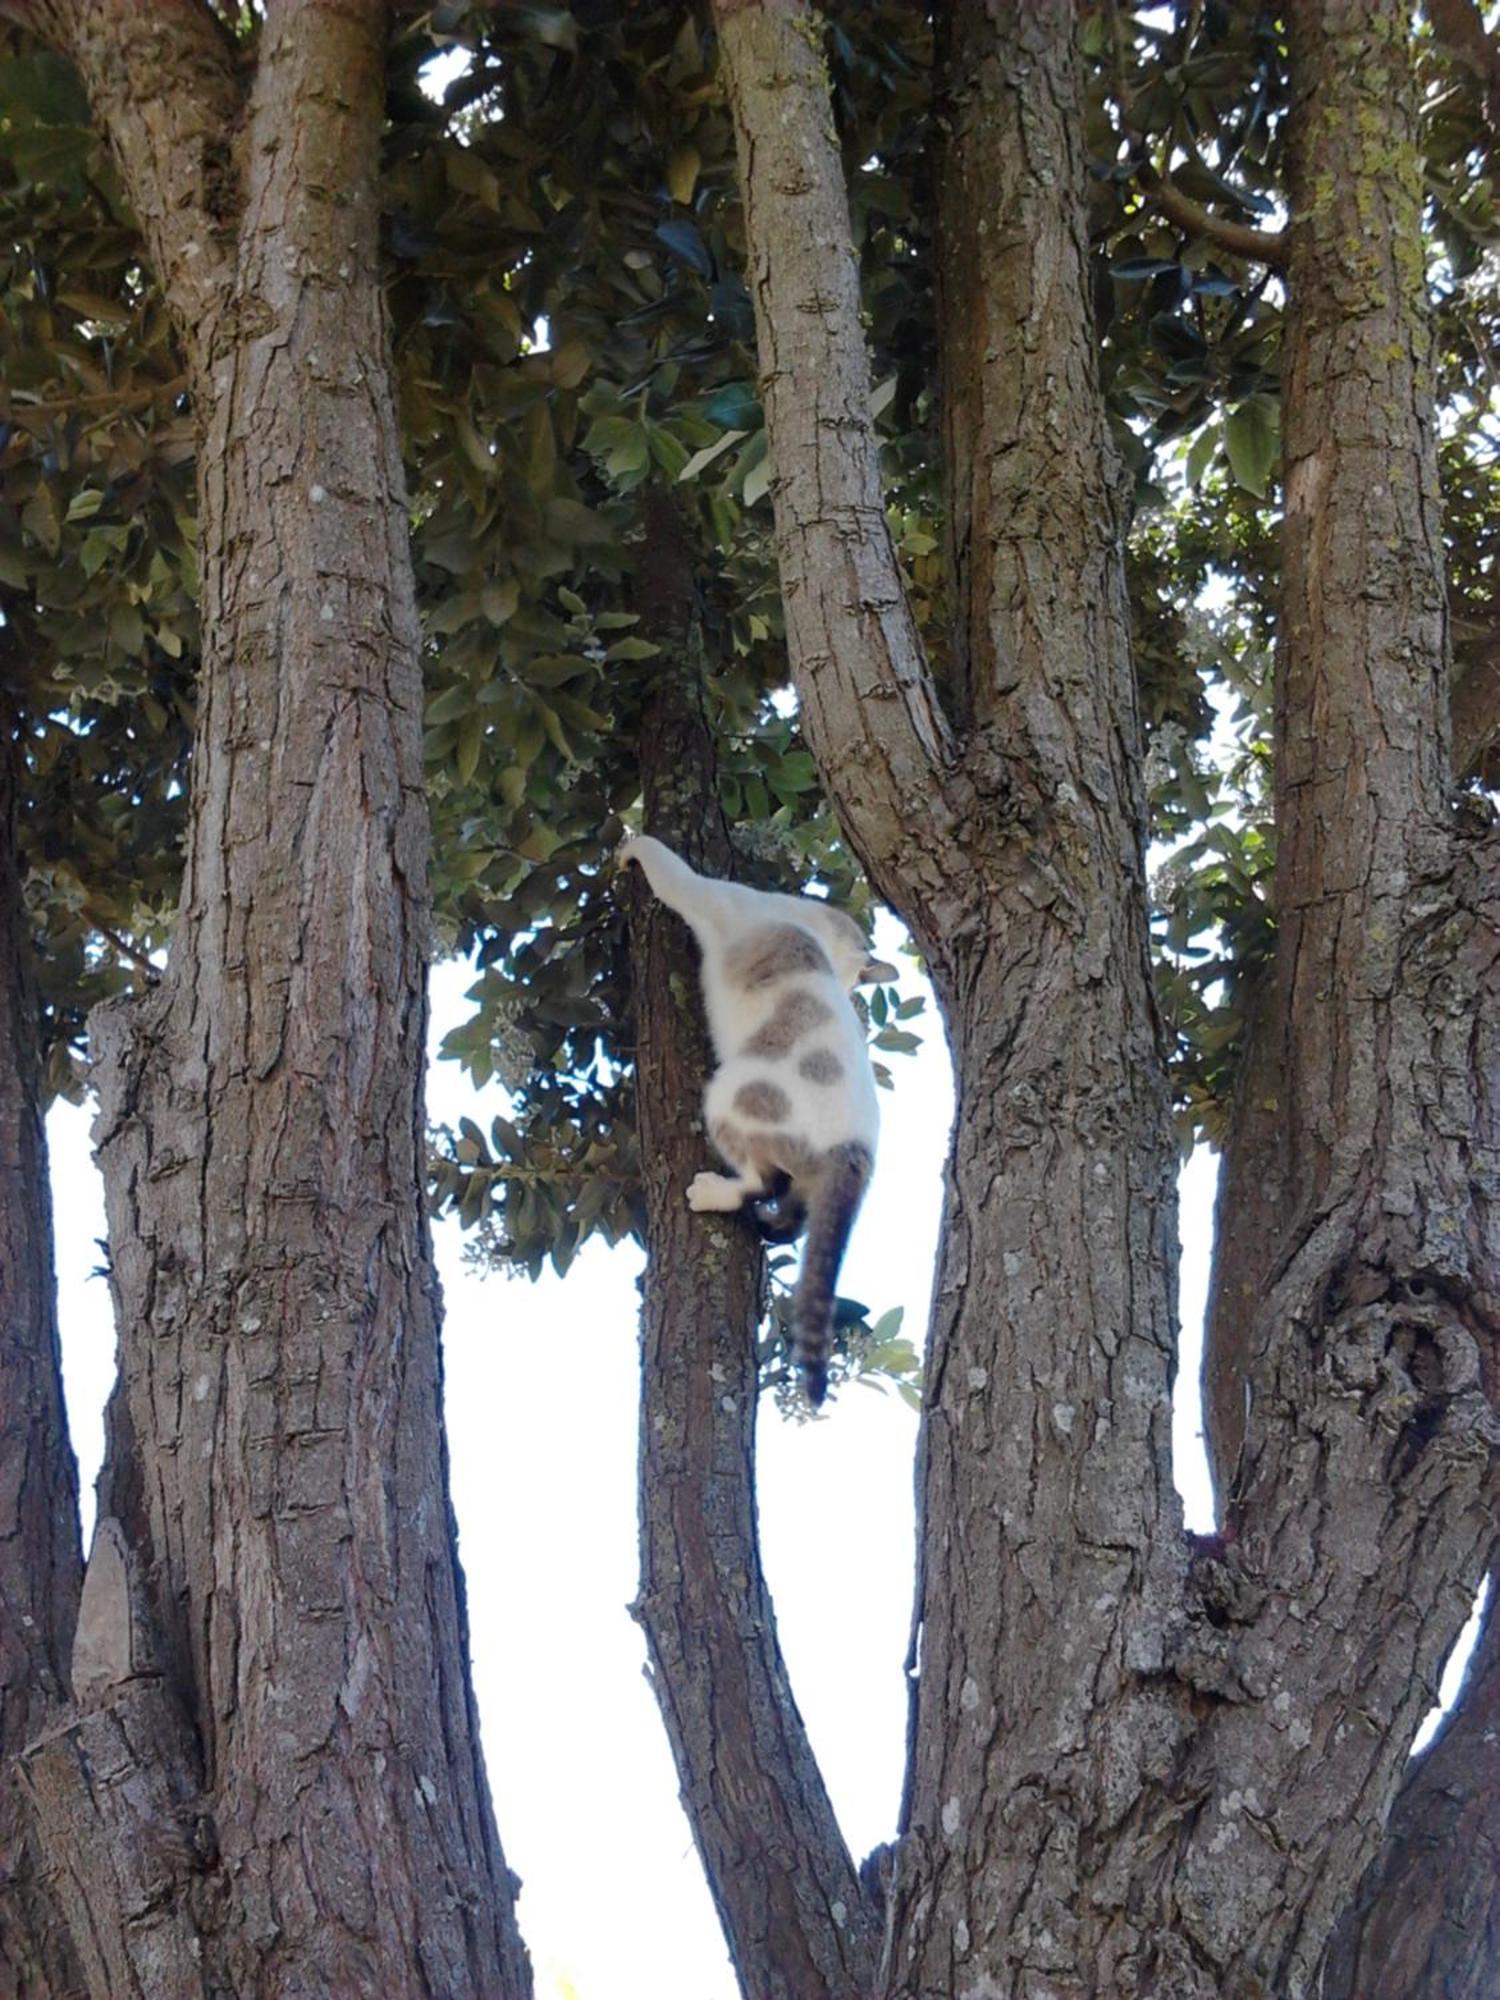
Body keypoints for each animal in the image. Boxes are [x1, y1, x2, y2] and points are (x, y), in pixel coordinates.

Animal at [620, 828, 892, 1408]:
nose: (853, 992)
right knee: (795, 1213)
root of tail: (857, 1151)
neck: (812, 929)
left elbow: (661, 861)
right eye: (854, 985)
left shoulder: (703, 893)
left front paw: (627, 845)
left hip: (727, 1094)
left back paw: (712, 1193)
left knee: (763, 1181)